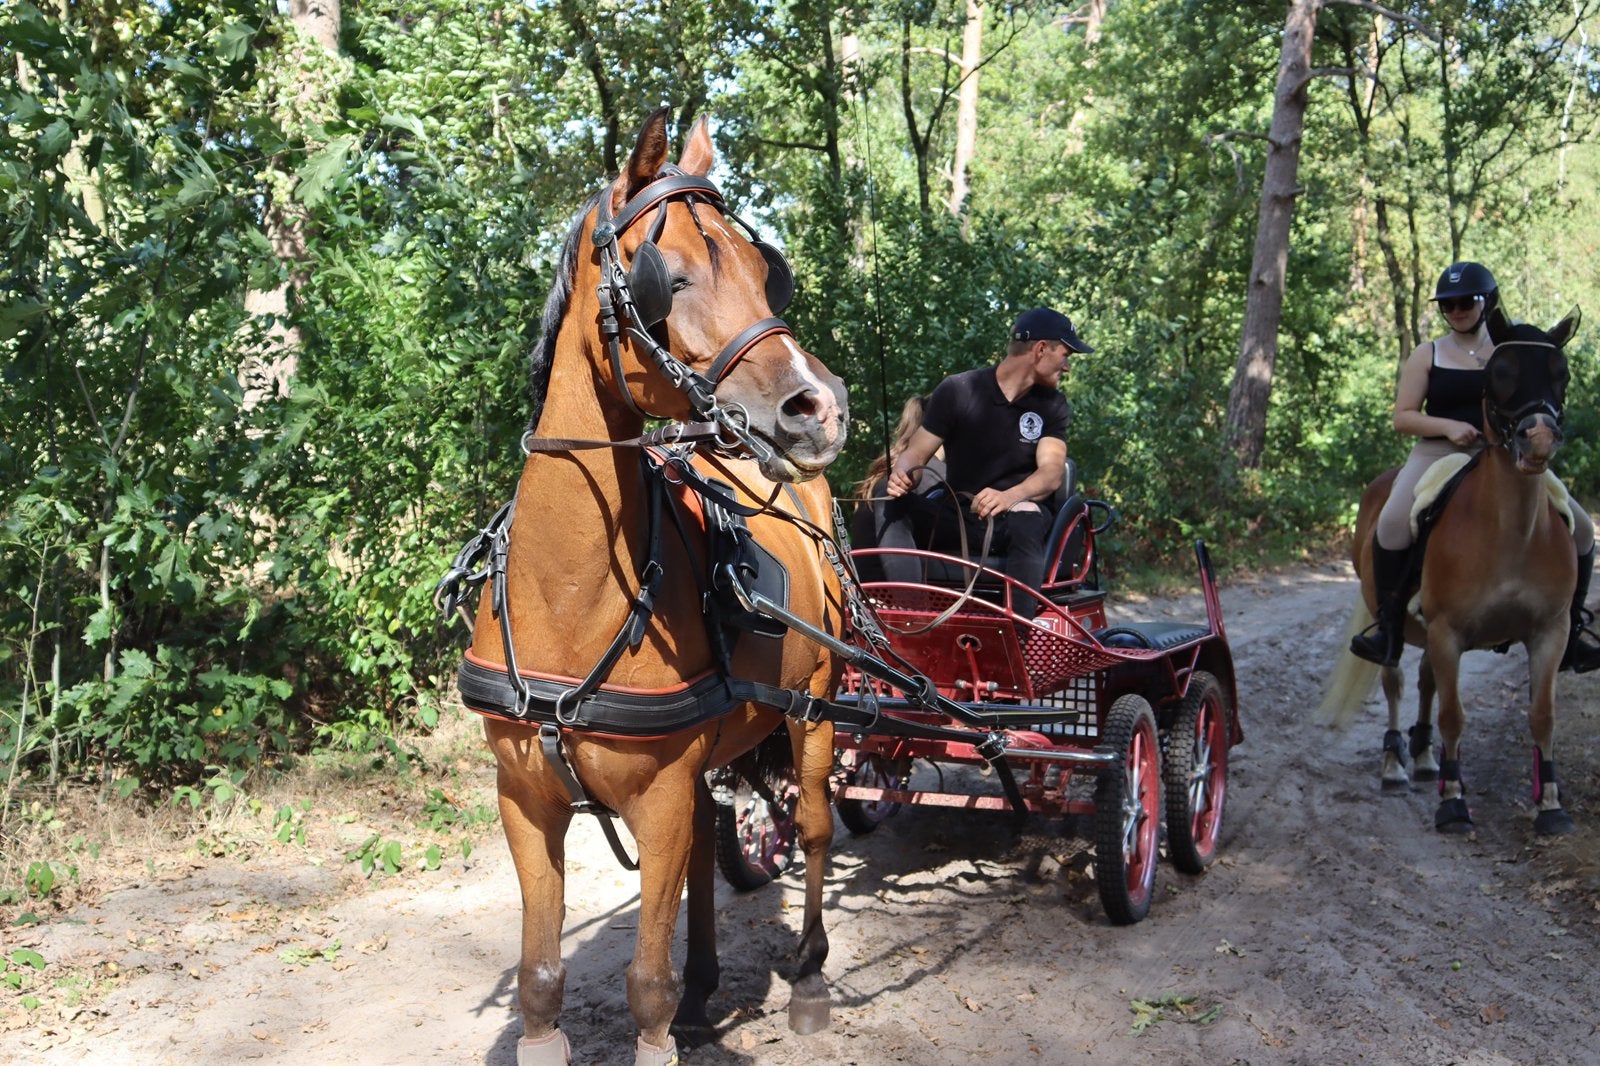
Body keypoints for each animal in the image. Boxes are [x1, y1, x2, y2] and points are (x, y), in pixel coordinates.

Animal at [450, 109, 850, 1066]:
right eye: (666, 276)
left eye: (763, 269)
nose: (820, 407)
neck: (569, 595)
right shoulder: (524, 799)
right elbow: (541, 978)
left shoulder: (660, 797)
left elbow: (645, 987)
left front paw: (677, 1008)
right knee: (710, 846)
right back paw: (707, 990)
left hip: (815, 706)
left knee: (817, 828)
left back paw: (810, 978)